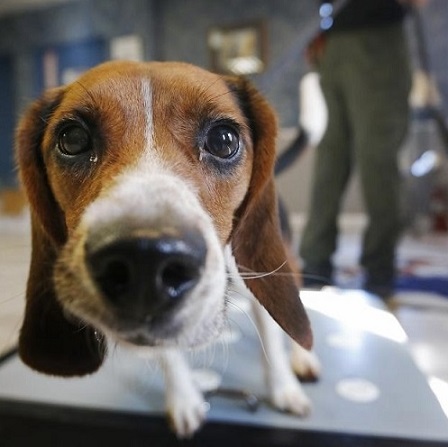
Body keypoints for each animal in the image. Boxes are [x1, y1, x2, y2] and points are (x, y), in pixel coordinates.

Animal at [16, 61, 318, 440]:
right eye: (72, 139)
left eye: (223, 140)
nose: (146, 261)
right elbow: (169, 356)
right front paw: (184, 397)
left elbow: (272, 342)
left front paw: (283, 388)